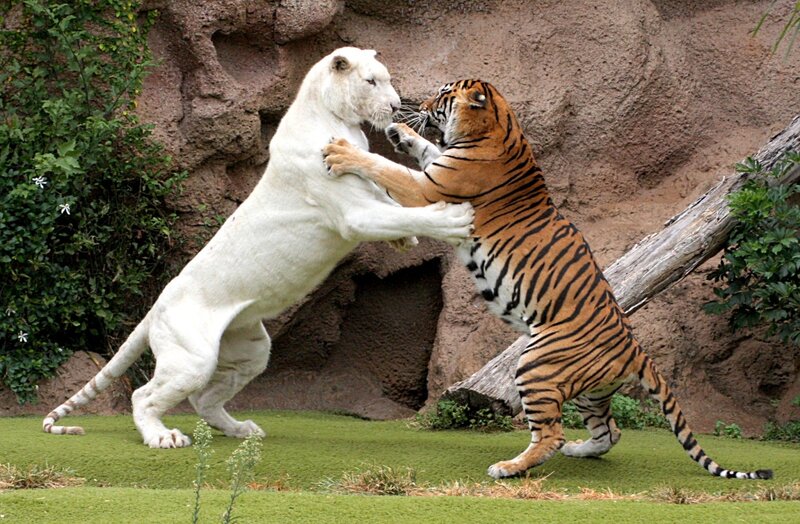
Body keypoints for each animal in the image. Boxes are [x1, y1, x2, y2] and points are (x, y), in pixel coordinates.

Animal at [42, 47, 474, 448]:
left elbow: (390, 196)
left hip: (250, 349)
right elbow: (401, 210)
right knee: (144, 396)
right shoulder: (353, 212)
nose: (395, 106)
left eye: (386, 79)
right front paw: (450, 221)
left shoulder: (366, 190)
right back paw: (164, 437)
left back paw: (242, 430)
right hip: (192, 356)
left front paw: (406, 239)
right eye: (371, 82)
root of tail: (156, 307)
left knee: (204, 399)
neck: (338, 119)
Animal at [322, 79, 773, 480]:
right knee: (610, 431)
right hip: (591, 393)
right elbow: (424, 149)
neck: (497, 128)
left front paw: (341, 151)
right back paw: (578, 450)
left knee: (551, 435)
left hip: (536, 366)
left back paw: (509, 468)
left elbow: (386, 168)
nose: (416, 102)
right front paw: (401, 133)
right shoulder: (434, 173)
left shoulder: (429, 192)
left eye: (443, 93)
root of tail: (636, 350)